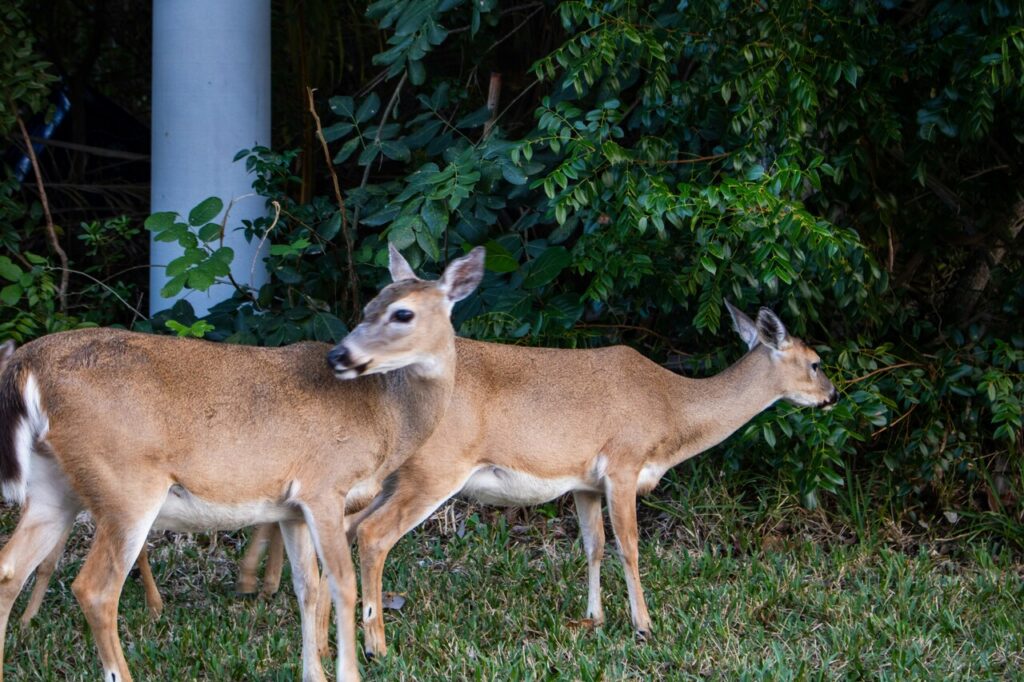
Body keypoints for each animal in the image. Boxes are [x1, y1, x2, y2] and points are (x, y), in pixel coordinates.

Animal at [0, 244, 485, 682]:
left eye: (401, 313)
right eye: (369, 308)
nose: (340, 356)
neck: (385, 416)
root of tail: (28, 364)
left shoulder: (291, 508)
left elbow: (308, 587)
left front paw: (314, 674)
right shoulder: (324, 485)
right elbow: (341, 583)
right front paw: (350, 672)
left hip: (54, 486)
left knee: (9, 569)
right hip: (125, 485)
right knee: (95, 590)